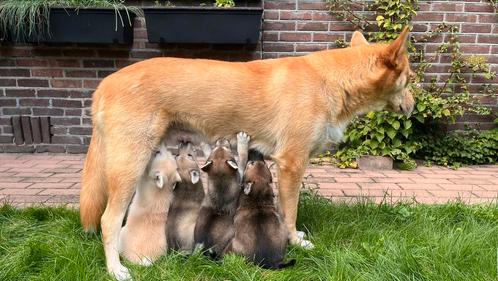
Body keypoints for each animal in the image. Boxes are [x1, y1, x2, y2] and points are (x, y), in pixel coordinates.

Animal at [80, 27, 414, 278]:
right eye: (409, 80)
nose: (413, 107)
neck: (330, 81)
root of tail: (104, 84)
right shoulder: (292, 164)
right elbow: (289, 212)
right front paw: (294, 241)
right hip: (128, 167)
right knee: (109, 221)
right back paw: (116, 270)